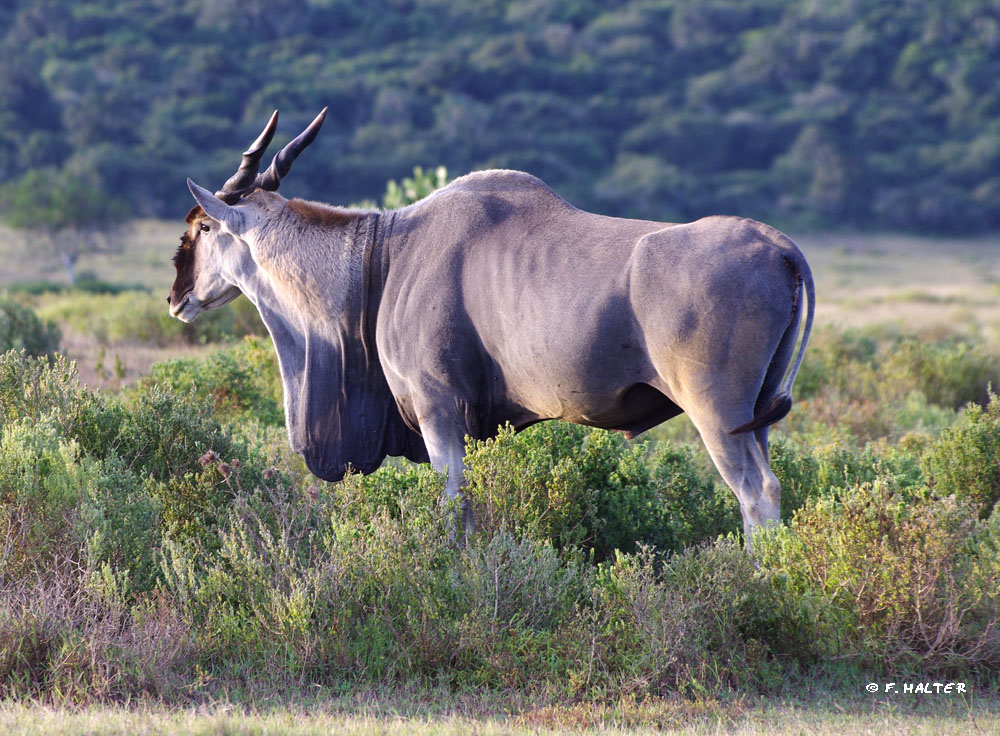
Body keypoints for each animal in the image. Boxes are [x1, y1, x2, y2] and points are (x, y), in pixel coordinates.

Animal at [170, 110, 812, 548]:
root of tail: (781, 249)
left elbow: (454, 507)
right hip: (756, 417)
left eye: (203, 226)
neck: (384, 254)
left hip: (716, 412)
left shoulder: (439, 412)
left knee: (758, 492)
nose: (177, 298)